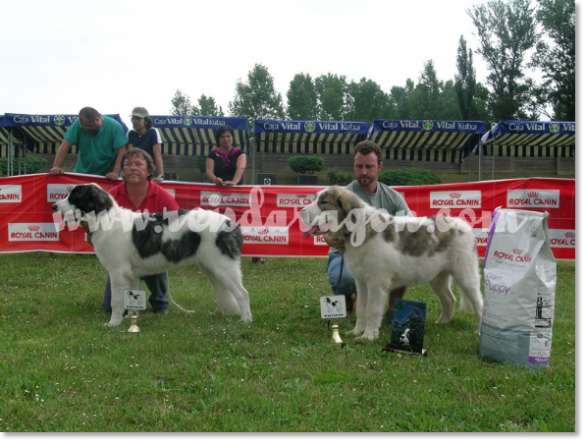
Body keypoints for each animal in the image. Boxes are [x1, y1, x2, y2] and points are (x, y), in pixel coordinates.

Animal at [51, 183, 250, 326]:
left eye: (75, 197)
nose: (53, 206)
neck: (106, 219)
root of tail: (231, 223)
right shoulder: (130, 275)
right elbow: (129, 298)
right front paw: (129, 318)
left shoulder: (117, 273)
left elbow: (116, 301)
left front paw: (113, 323)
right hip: (211, 268)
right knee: (222, 291)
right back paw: (218, 314)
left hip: (223, 268)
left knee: (242, 293)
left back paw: (245, 320)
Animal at [298, 186, 482, 342]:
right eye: (315, 199)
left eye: (323, 203)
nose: (300, 212)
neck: (360, 228)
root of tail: (463, 224)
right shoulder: (361, 283)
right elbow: (361, 310)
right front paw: (357, 331)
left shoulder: (376, 284)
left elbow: (372, 310)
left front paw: (369, 336)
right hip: (437, 278)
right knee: (449, 299)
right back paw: (442, 323)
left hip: (466, 275)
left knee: (479, 303)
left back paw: (480, 332)